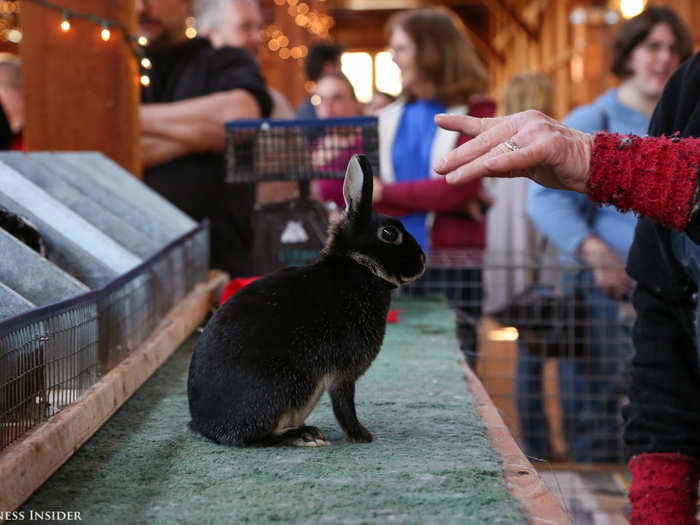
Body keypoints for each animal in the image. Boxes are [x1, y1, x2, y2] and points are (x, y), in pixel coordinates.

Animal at [187, 154, 426, 444]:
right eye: (390, 234)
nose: (423, 260)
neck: (360, 264)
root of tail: (203, 424)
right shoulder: (342, 373)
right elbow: (344, 405)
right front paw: (361, 436)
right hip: (281, 388)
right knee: (257, 438)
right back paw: (305, 435)